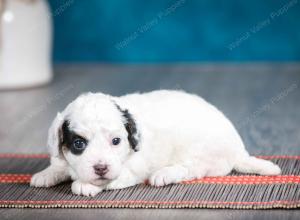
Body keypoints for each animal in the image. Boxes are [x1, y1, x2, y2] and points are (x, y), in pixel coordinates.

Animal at [30, 90, 282, 197]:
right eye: (78, 144)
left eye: (116, 141)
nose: (100, 168)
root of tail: (238, 151)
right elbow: (60, 164)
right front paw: (47, 173)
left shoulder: (132, 169)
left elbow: (112, 178)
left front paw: (86, 185)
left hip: (200, 153)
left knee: (191, 169)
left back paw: (165, 174)